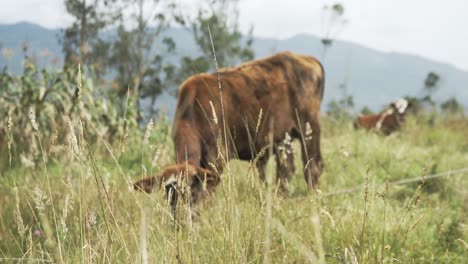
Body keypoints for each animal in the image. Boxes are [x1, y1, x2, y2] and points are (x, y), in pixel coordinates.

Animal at [133, 51, 324, 207]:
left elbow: (208, 193)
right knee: (286, 170)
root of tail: (306, 58)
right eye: (169, 196)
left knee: (312, 167)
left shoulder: (217, 156)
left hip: (309, 128)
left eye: (191, 193)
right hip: (283, 138)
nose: (179, 221)